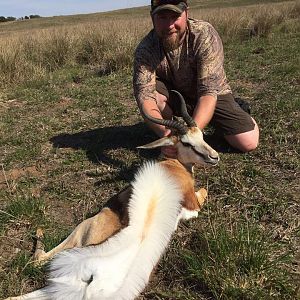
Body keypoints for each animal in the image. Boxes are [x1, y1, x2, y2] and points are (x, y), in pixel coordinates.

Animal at [6, 89, 218, 300]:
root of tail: (91, 280)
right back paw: (39, 231)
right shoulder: (193, 203)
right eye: (186, 143)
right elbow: (204, 192)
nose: (214, 157)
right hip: (79, 231)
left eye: (201, 135)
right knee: (38, 261)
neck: (173, 167)